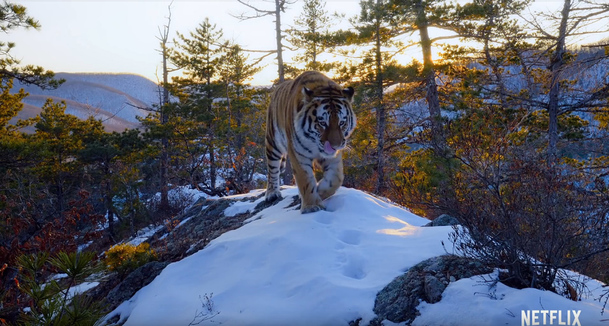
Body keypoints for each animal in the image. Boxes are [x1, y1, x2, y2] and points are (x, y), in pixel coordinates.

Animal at [264, 70, 356, 214]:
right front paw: (312, 206)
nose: (335, 146)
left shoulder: (333, 157)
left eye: (342, 122)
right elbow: (305, 180)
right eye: (322, 123)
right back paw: (272, 193)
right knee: (272, 169)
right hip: (273, 142)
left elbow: (336, 178)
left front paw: (320, 191)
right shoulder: (298, 154)